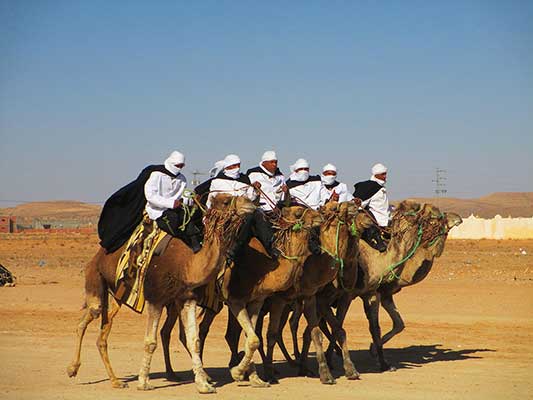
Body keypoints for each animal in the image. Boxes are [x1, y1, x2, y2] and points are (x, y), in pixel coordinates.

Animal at [64, 194, 256, 394]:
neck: (187, 265)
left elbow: (193, 340)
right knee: (89, 316)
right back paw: (73, 369)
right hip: (96, 278)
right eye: (226, 201)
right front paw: (143, 382)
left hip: (118, 295)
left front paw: (204, 385)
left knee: (103, 332)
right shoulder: (155, 298)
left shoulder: (186, 298)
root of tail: (98, 256)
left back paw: (116, 381)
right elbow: (150, 342)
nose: (251, 203)